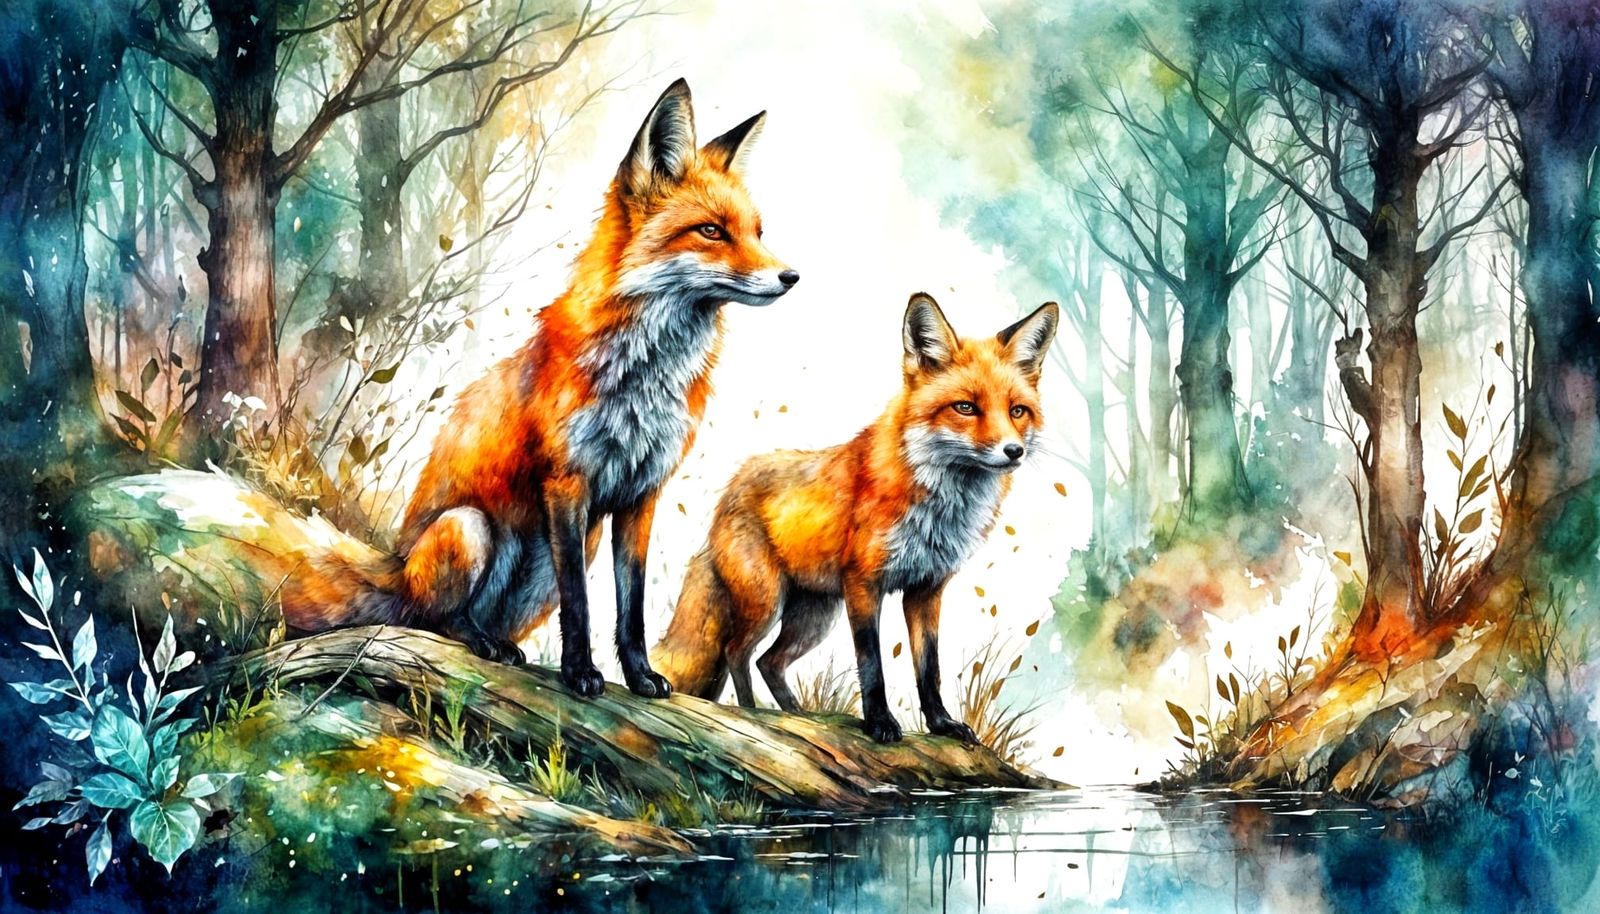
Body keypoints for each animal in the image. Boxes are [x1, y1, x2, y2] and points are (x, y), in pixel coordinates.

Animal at [278, 79, 798, 698]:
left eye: (758, 233)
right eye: (712, 231)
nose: (791, 277)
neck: (643, 378)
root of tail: (395, 564)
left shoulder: (641, 495)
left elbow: (631, 607)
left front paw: (639, 675)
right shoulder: (566, 483)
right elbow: (581, 604)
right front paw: (580, 672)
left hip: (552, 556)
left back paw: (501, 642)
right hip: (471, 528)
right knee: (435, 622)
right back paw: (480, 641)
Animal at [651, 293, 1058, 742]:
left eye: (1017, 411)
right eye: (965, 408)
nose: (1013, 451)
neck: (941, 508)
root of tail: (731, 488)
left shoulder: (926, 589)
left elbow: (928, 668)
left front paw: (941, 724)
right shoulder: (863, 584)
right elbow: (871, 664)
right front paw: (879, 723)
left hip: (813, 617)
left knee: (769, 661)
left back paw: (801, 716)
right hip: (768, 603)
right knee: (736, 652)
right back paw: (754, 712)